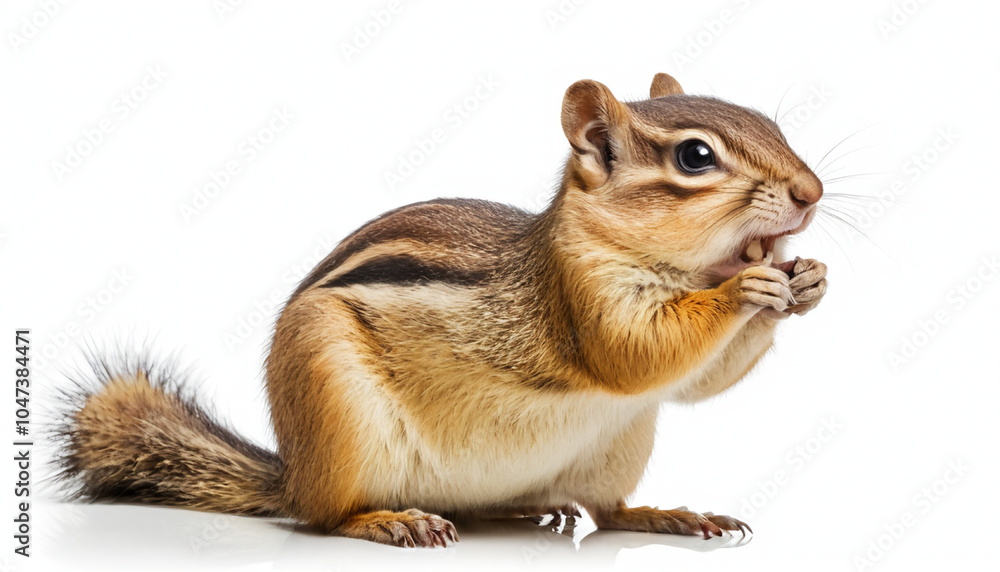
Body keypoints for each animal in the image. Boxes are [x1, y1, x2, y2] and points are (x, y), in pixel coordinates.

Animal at [54, 73, 827, 548]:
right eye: (695, 157)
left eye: (771, 122)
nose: (812, 194)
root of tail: (293, 472)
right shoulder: (581, 298)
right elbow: (637, 354)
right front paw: (746, 287)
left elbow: (696, 384)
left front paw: (808, 280)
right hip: (334, 408)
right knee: (321, 518)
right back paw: (389, 522)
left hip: (620, 446)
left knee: (605, 514)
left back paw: (655, 512)